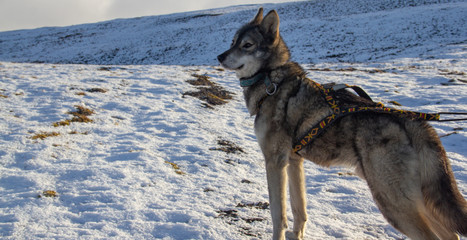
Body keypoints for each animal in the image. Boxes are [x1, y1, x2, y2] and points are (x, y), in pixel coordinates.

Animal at [218, 7, 467, 240]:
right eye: (232, 42)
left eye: (247, 45)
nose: (220, 56)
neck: (271, 81)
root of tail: (413, 123)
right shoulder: (294, 161)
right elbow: (300, 209)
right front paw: (297, 235)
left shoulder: (275, 161)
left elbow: (278, 215)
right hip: (417, 200)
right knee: (451, 234)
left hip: (393, 203)